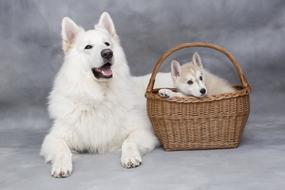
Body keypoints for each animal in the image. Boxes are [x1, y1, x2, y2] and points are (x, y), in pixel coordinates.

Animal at [40, 12, 158, 178]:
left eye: (107, 44)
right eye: (88, 47)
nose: (108, 53)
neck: (98, 96)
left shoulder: (143, 132)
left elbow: (128, 142)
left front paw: (130, 157)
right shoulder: (53, 138)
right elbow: (63, 149)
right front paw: (61, 166)